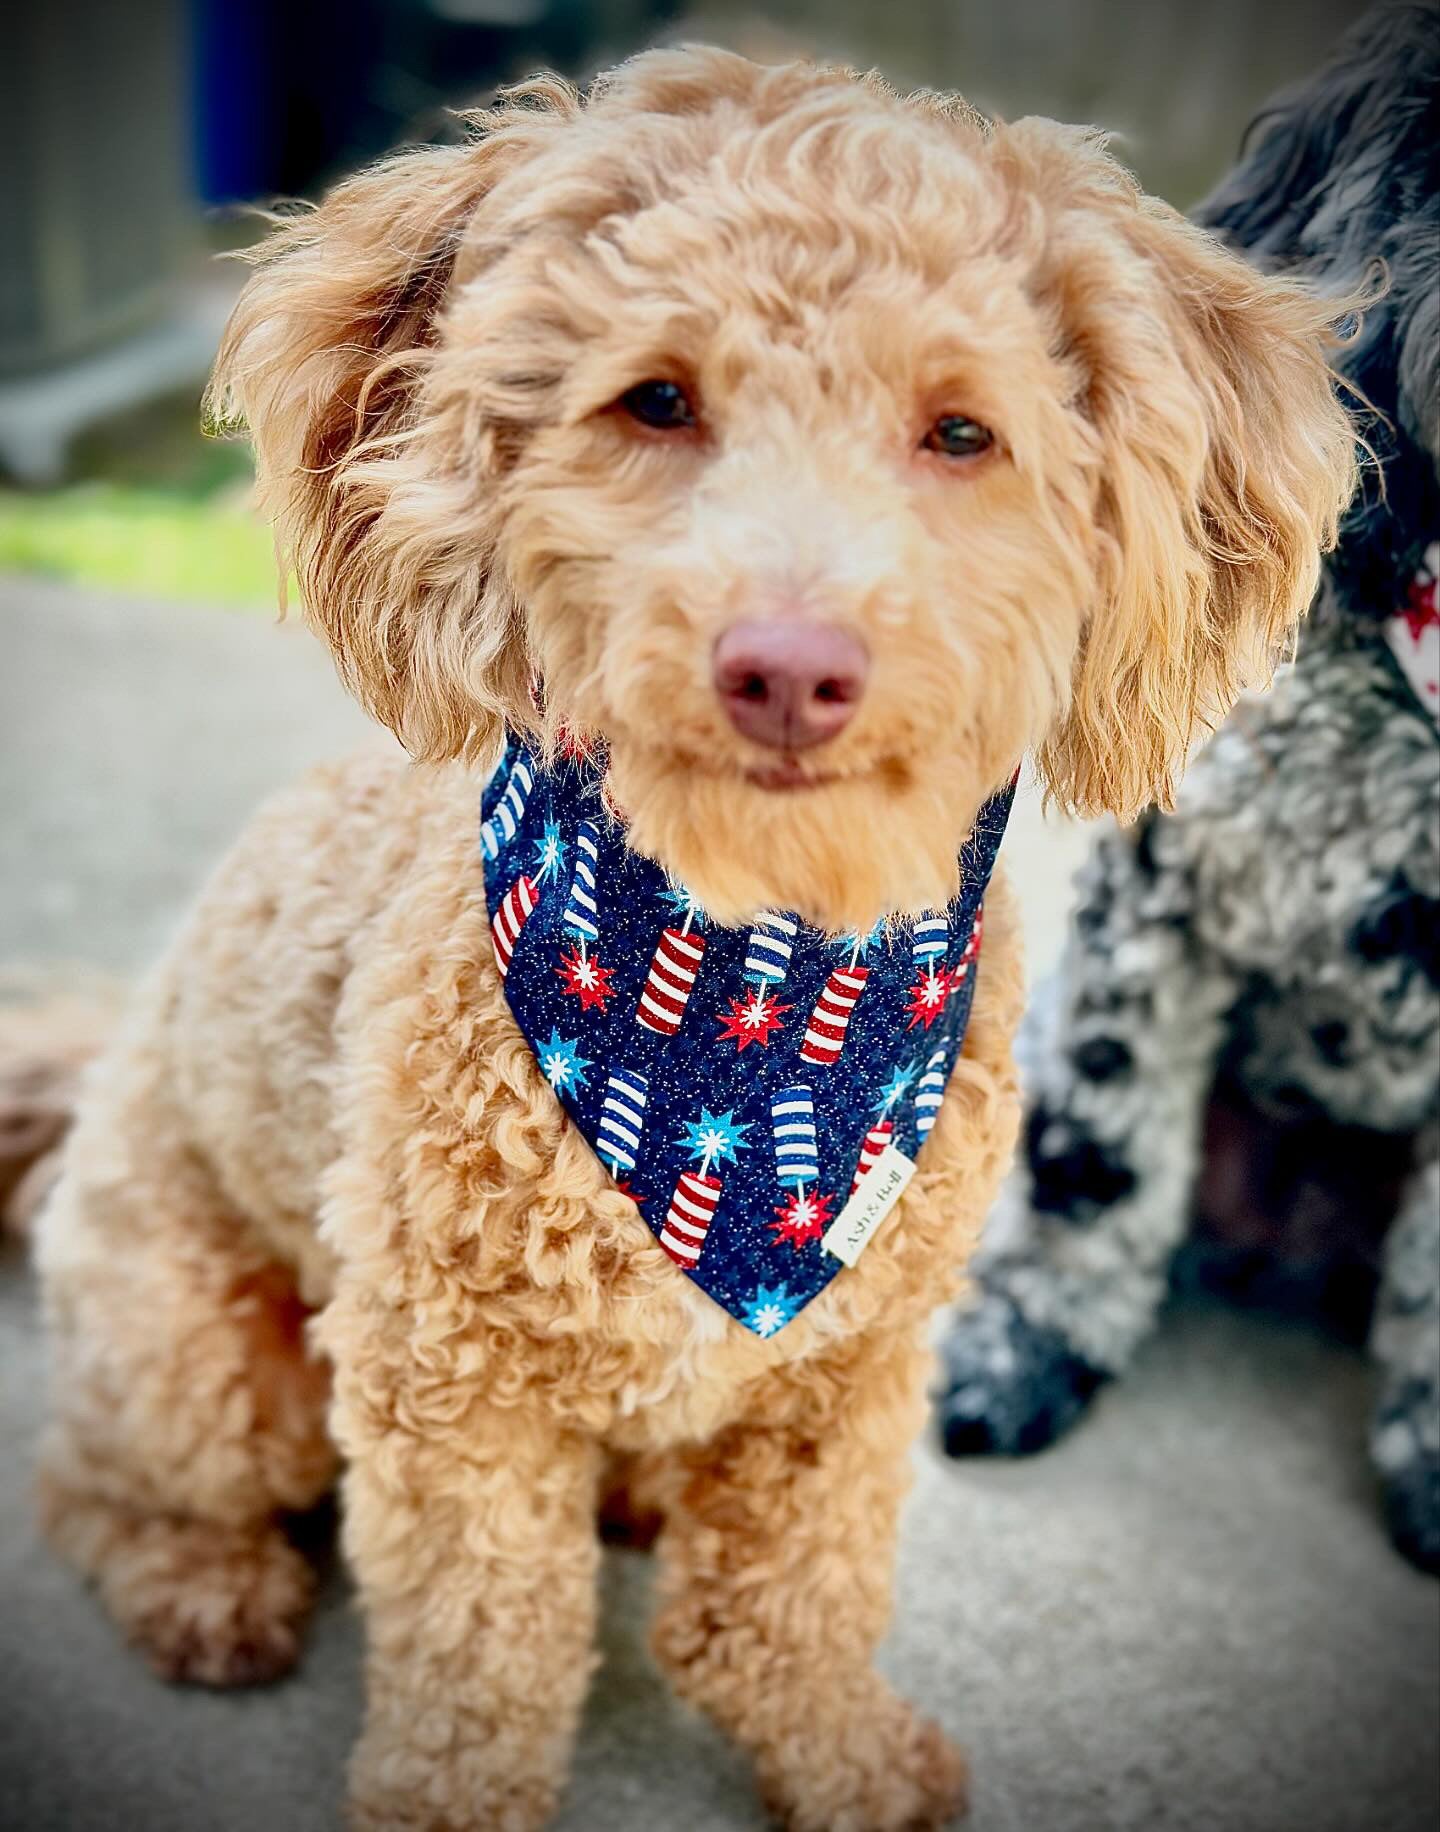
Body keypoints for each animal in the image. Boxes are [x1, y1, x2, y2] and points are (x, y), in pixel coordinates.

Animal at [36, 43, 1355, 1832]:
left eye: (961, 432)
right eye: (657, 401)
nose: (787, 666)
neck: (754, 1003)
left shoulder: (850, 1376)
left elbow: (791, 1604)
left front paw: (841, 1755)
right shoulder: (450, 1394)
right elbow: (484, 1667)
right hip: (203, 1363)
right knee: (90, 1482)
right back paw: (202, 1583)